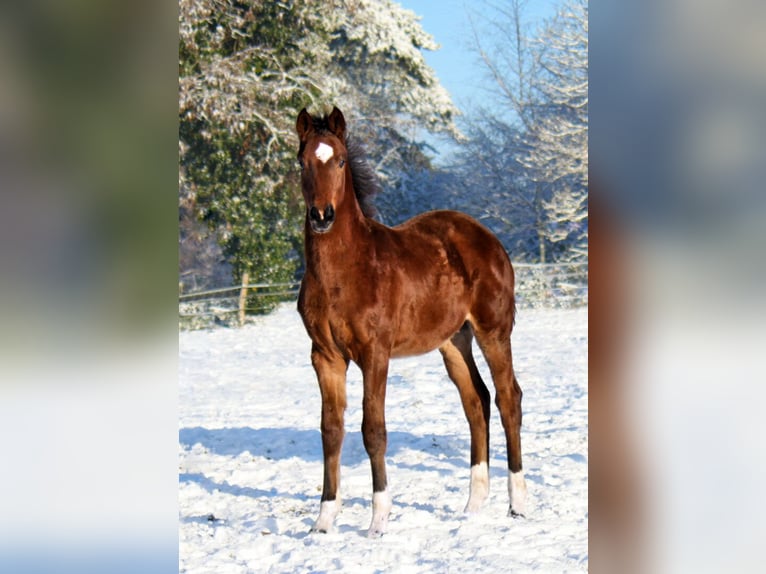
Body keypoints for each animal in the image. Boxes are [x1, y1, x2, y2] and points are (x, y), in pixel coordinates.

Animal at [296, 104, 528, 540]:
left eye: (340, 160)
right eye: (301, 162)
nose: (321, 216)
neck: (345, 271)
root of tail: (488, 237)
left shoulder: (375, 354)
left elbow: (373, 430)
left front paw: (378, 521)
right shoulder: (325, 357)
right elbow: (330, 430)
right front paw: (323, 521)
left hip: (494, 331)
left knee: (508, 398)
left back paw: (518, 504)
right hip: (453, 341)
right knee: (476, 401)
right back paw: (473, 504)